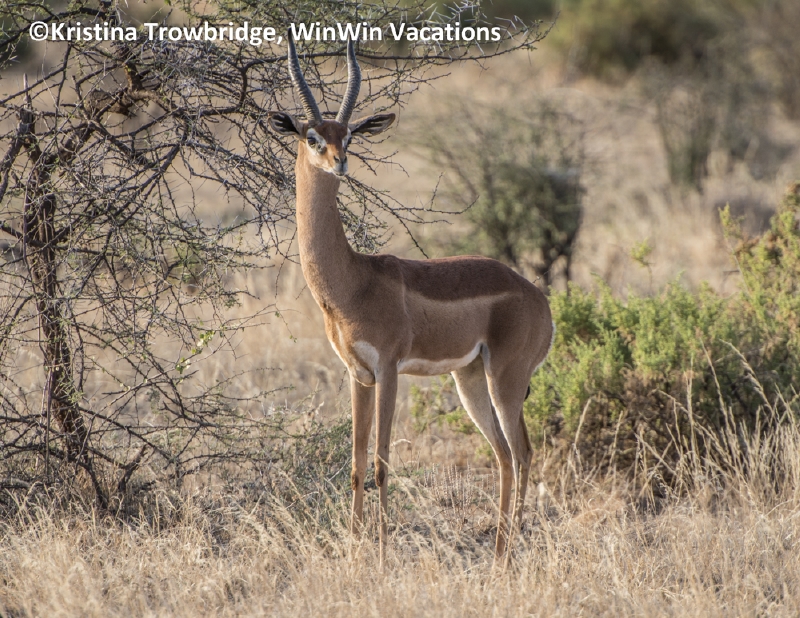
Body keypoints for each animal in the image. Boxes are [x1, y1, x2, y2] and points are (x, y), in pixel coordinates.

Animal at [267, 37, 555, 568]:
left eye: (349, 135)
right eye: (312, 136)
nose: (339, 162)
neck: (353, 282)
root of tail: (538, 298)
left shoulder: (389, 370)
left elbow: (383, 462)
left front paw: (380, 555)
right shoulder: (357, 375)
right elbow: (358, 463)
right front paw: (354, 552)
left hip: (505, 379)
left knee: (522, 452)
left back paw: (510, 554)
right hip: (470, 379)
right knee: (505, 454)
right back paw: (500, 551)